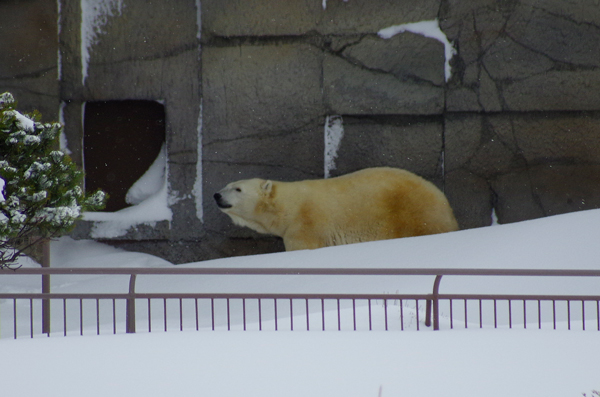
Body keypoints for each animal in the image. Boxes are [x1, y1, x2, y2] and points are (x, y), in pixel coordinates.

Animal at [213, 167, 458, 251]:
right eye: (226, 185)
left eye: (237, 189)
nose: (216, 195)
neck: (288, 206)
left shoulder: (305, 225)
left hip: (415, 214)